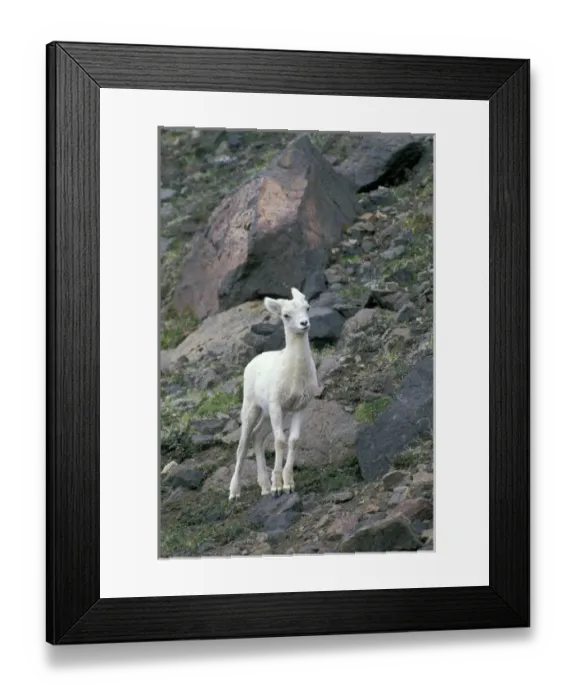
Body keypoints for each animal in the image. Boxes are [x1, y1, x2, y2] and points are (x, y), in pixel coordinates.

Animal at [229, 287, 321, 501]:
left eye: (307, 307)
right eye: (286, 315)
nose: (304, 324)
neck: (295, 373)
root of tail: (252, 363)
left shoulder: (299, 407)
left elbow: (293, 441)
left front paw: (288, 484)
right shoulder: (277, 405)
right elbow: (279, 442)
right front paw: (278, 487)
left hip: (268, 414)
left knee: (257, 437)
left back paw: (264, 486)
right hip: (252, 409)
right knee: (242, 446)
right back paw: (234, 492)